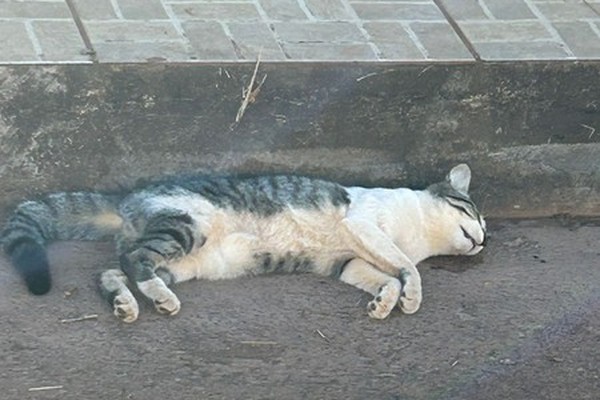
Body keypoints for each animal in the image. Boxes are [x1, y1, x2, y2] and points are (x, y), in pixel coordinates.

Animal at [2, 162, 486, 322]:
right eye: (473, 213)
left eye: (486, 227)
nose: (483, 240)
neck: (419, 234)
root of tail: (126, 199)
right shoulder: (364, 225)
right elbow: (408, 267)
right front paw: (411, 295)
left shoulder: (347, 260)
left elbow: (384, 276)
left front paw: (384, 302)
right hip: (186, 227)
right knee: (136, 259)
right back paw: (157, 297)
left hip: (184, 262)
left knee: (112, 268)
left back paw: (130, 303)